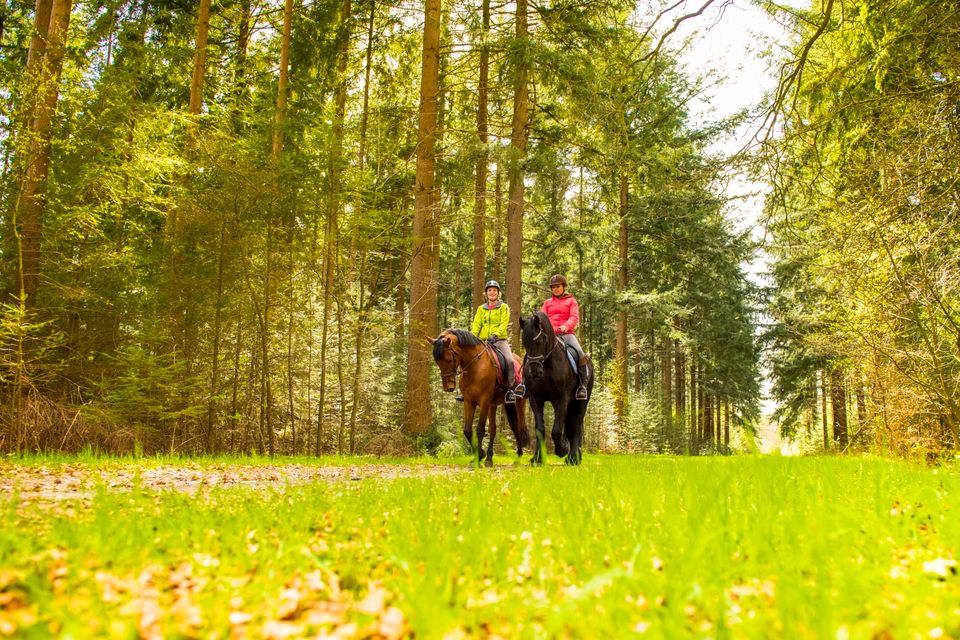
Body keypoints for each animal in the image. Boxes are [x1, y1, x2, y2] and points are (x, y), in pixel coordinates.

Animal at [428, 330, 528, 464]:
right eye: (437, 361)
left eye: (448, 359)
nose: (448, 387)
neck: (475, 367)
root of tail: (519, 359)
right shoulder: (469, 401)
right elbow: (467, 430)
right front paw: (480, 455)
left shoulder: (484, 401)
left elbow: (480, 430)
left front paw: (479, 457)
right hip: (493, 404)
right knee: (494, 428)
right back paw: (490, 458)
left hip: (519, 401)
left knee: (520, 426)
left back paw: (518, 456)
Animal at [516, 310, 592, 464]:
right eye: (525, 343)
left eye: (540, 341)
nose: (534, 372)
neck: (546, 366)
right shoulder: (535, 398)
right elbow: (540, 428)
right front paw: (537, 458)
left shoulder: (562, 399)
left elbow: (557, 429)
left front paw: (562, 450)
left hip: (581, 402)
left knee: (576, 424)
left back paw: (573, 457)